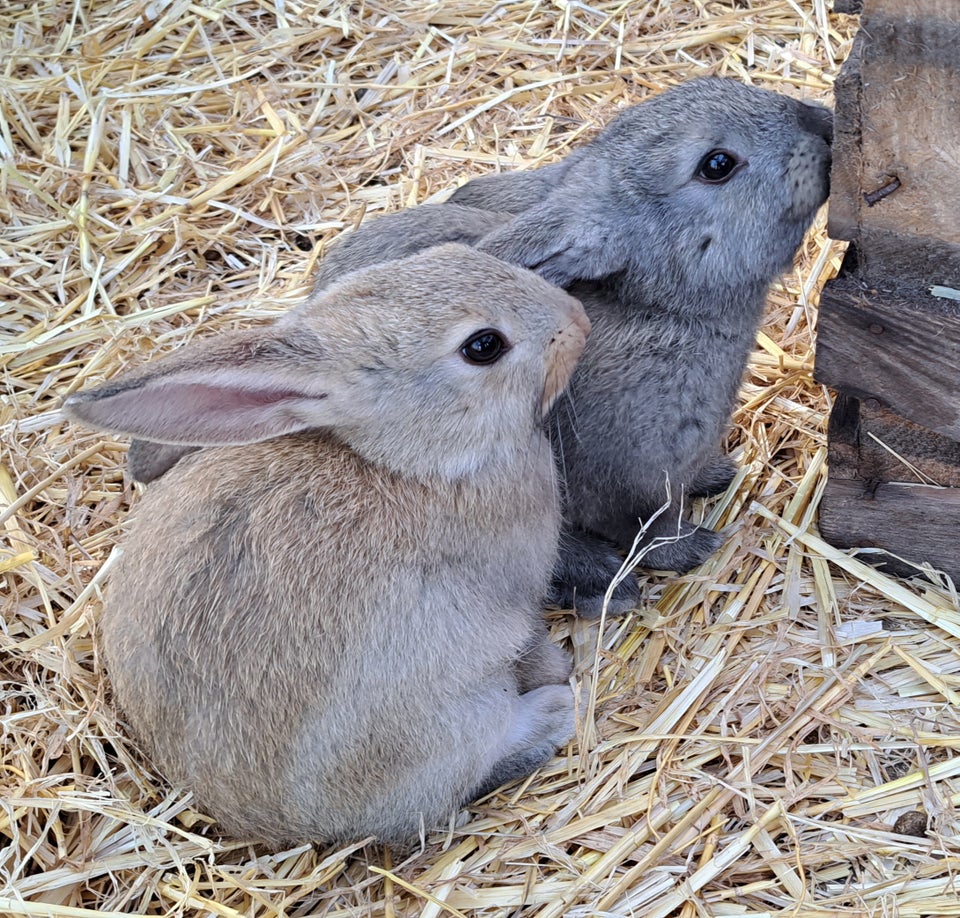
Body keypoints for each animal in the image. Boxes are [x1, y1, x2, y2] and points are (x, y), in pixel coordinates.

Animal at [63, 246, 588, 848]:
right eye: (484, 346)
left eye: (451, 255)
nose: (577, 319)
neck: (413, 462)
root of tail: (276, 826)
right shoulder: (515, 598)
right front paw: (559, 667)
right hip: (449, 727)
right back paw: (553, 712)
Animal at [129, 75, 832, 616]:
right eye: (717, 164)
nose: (823, 123)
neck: (660, 307)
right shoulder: (624, 483)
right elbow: (649, 529)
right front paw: (695, 548)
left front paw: (716, 475)